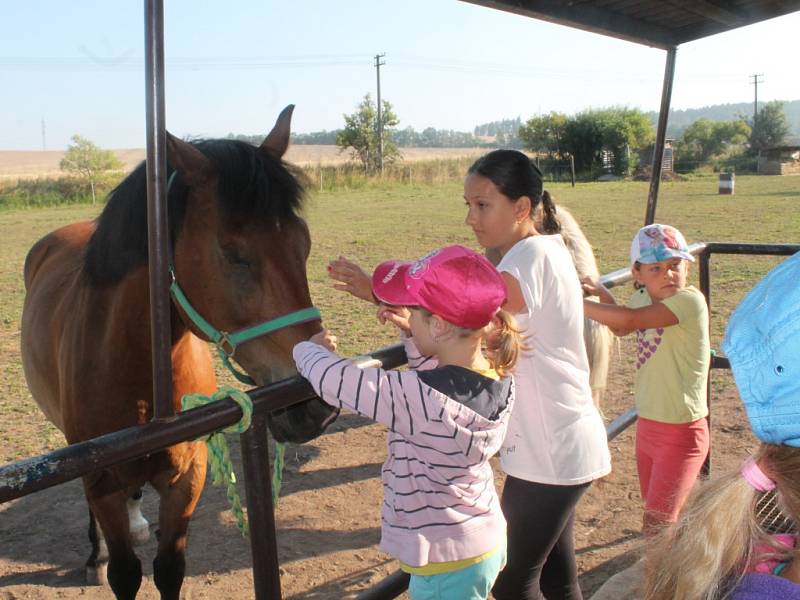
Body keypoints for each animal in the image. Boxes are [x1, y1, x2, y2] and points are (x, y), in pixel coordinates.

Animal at [18, 105, 338, 596]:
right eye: (233, 253)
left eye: (302, 243)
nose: (314, 404)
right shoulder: (99, 478)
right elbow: (126, 572)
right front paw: (107, 557)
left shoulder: (188, 476)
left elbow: (170, 567)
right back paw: (96, 555)